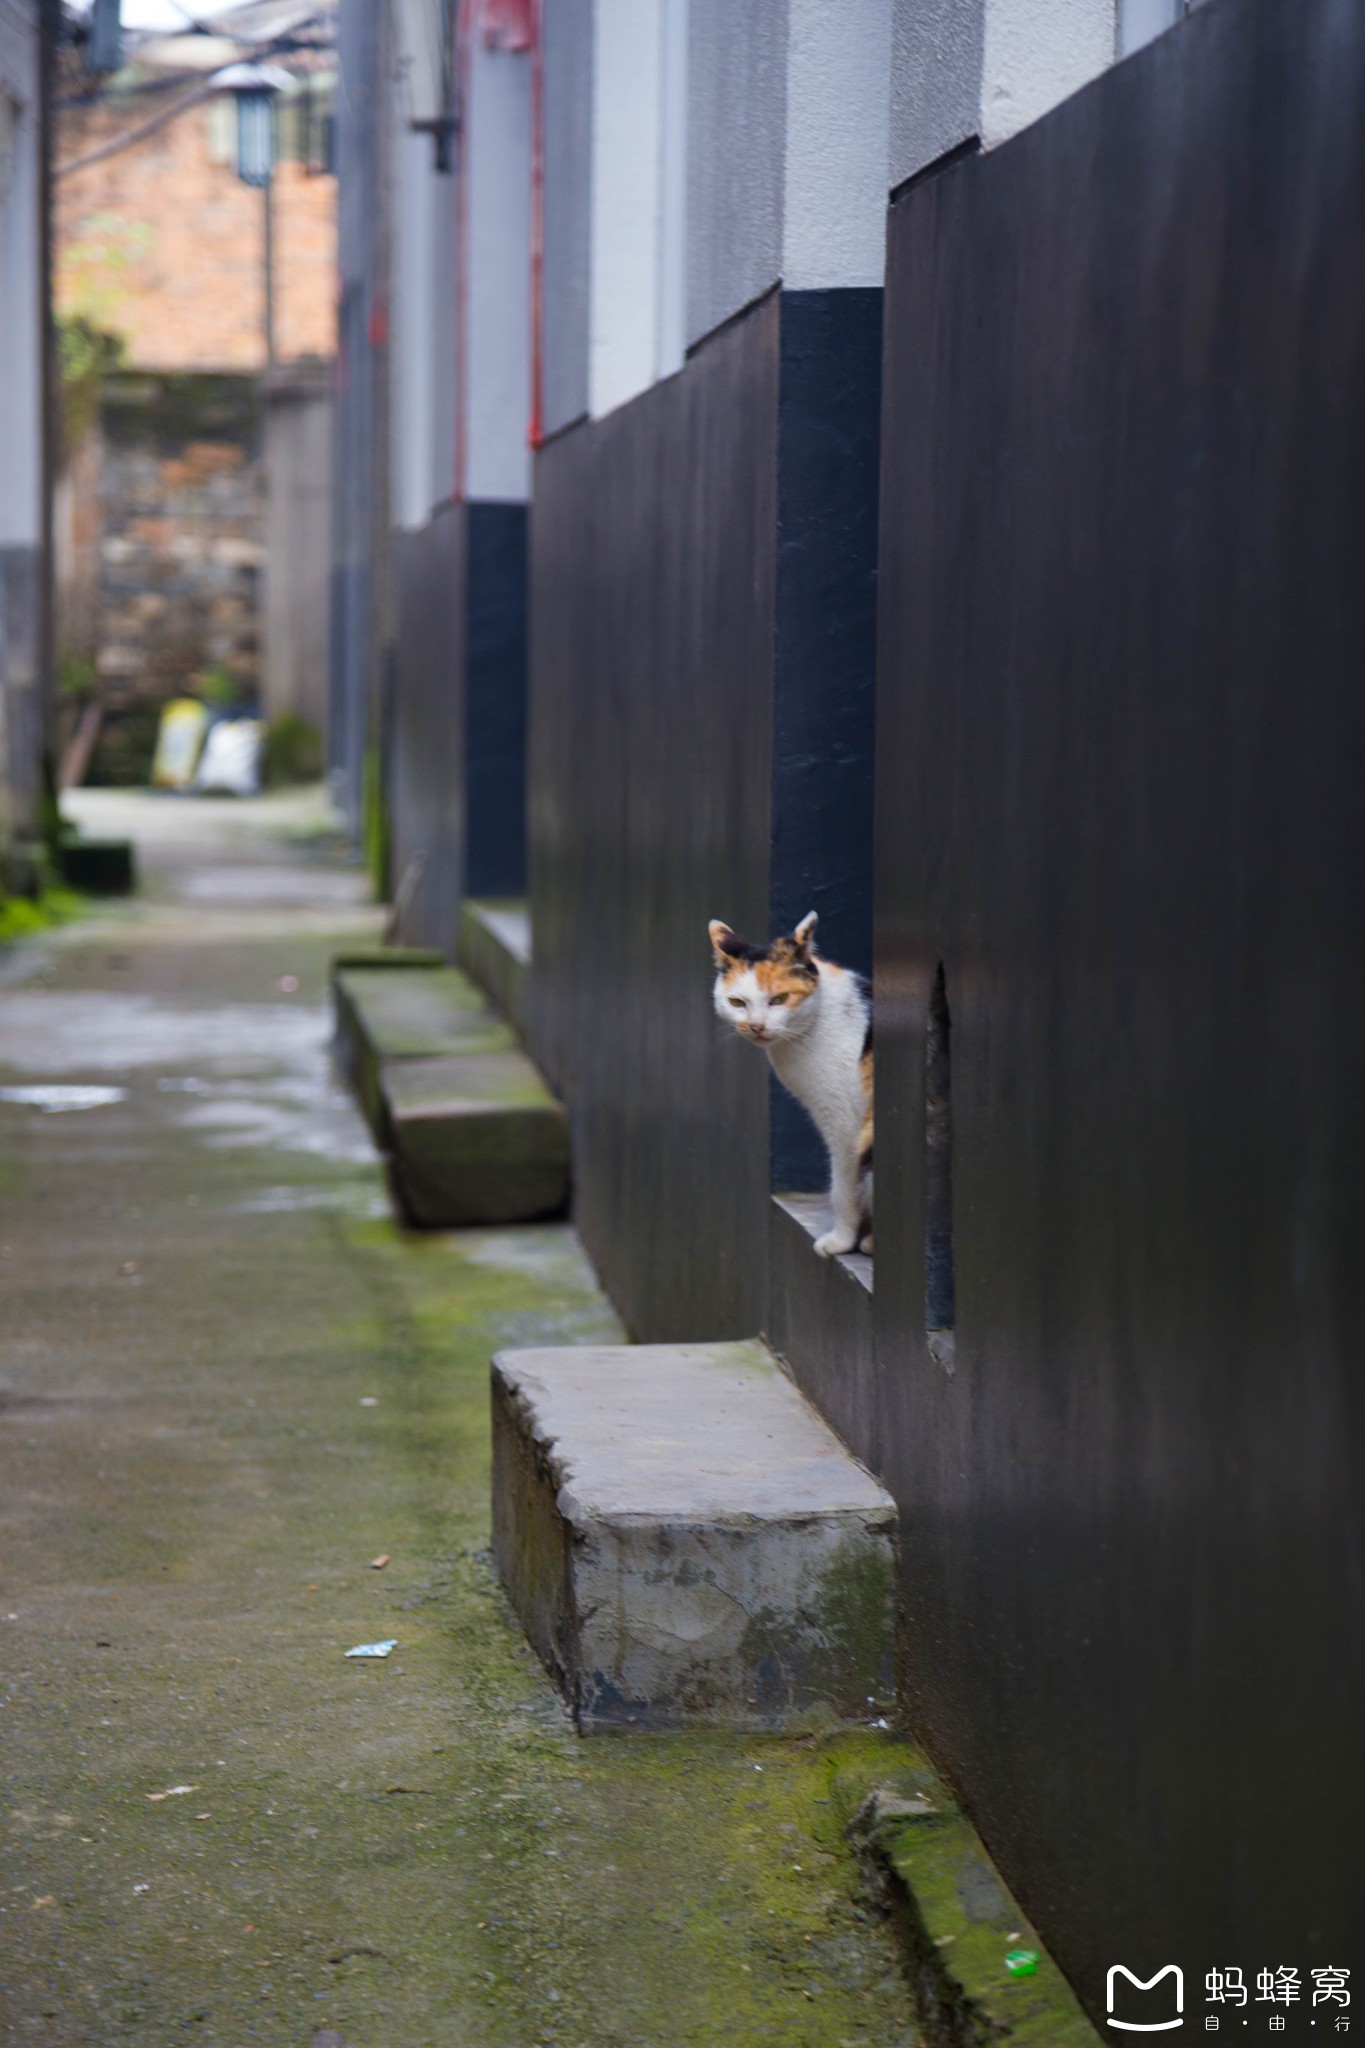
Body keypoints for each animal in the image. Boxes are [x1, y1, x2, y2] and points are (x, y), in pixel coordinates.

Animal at [703, 917, 875, 1261]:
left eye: (780, 999)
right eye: (737, 1002)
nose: (756, 1026)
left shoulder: (846, 1125)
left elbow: (843, 1187)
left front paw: (842, 1241)